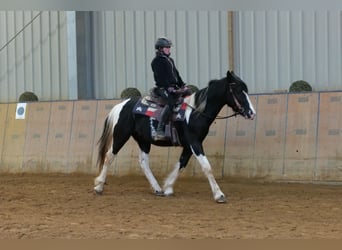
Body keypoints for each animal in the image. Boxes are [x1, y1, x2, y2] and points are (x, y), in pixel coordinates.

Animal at [95, 70, 255, 203]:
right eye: (238, 91)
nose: (252, 113)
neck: (195, 112)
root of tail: (122, 105)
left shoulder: (189, 145)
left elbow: (181, 163)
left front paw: (168, 187)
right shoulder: (195, 143)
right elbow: (206, 167)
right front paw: (219, 195)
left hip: (144, 140)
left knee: (143, 162)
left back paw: (157, 189)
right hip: (121, 135)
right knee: (109, 156)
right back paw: (99, 186)